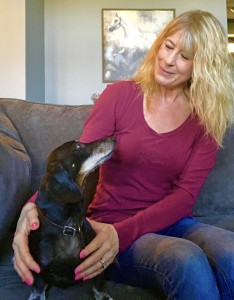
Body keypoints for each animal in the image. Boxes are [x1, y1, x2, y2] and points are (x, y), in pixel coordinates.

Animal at [27, 138, 115, 300]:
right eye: (78, 146)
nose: (113, 138)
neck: (68, 227)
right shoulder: (39, 268)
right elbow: (38, 284)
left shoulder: (95, 262)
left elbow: (99, 284)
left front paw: (104, 296)